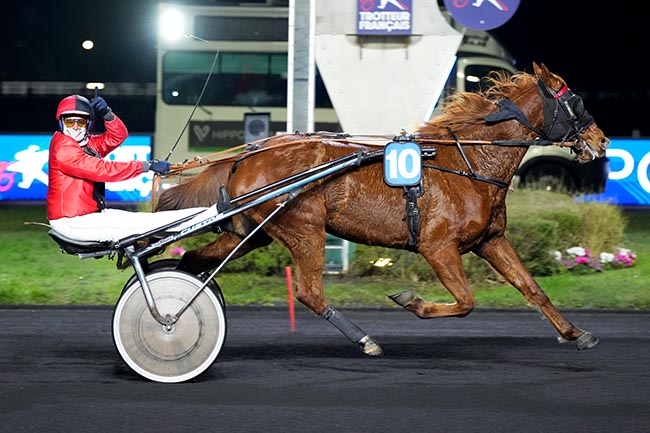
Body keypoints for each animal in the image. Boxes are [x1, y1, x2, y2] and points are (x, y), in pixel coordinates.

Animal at [156, 63, 608, 354]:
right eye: (576, 103)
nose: (601, 141)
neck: (469, 163)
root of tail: (247, 156)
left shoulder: (491, 239)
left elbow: (532, 288)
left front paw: (575, 333)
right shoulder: (437, 246)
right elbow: (465, 302)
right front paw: (412, 301)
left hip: (252, 233)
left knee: (193, 260)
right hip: (304, 227)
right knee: (309, 291)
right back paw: (364, 339)